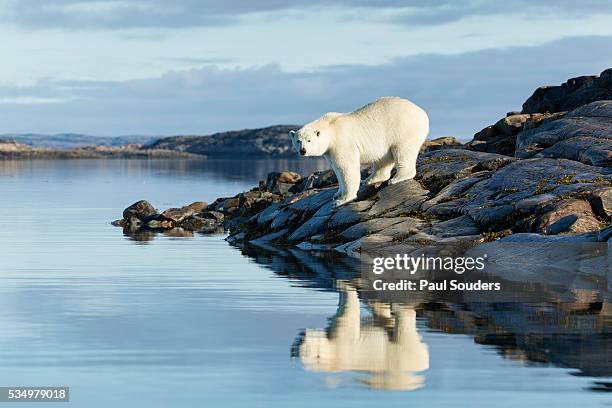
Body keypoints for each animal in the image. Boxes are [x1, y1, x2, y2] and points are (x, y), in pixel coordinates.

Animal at [292, 96, 430, 207]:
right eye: (298, 140)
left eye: (309, 140)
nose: (303, 151)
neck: (331, 127)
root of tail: (423, 113)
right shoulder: (329, 152)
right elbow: (337, 169)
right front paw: (337, 194)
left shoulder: (342, 142)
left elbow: (347, 168)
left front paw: (342, 200)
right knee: (383, 158)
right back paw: (370, 179)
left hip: (403, 128)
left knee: (402, 150)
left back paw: (397, 178)